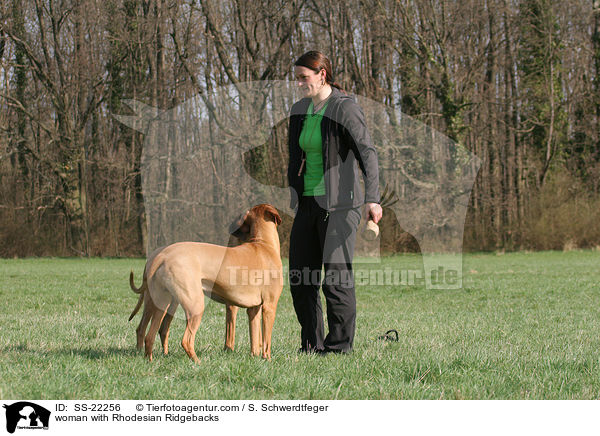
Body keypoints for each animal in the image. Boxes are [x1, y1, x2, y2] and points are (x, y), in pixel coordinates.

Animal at [128, 204, 282, 362]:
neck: (263, 244)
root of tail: (162, 255)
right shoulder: (269, 306)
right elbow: (266, 341)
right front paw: (267, 359)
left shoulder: (253, 309)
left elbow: (255, 338)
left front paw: (255, 357)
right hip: (194, 304)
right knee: (186, 340)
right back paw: (197, 362)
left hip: (161, 304)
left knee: (149, 335)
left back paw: (150, 360)